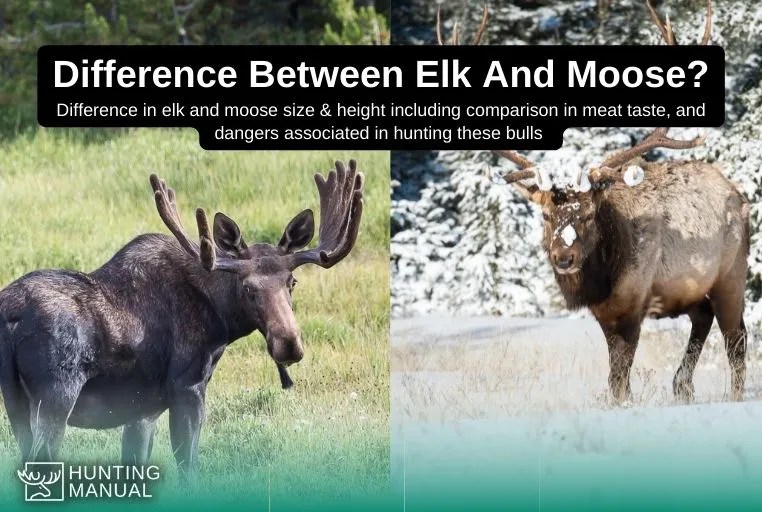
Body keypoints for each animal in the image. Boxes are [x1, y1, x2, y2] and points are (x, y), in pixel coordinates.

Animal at [0, 160, 364, 477]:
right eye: (247, 288)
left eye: (292, 282)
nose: (288, 344)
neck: (221, 321)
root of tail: (9, 315)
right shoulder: (188, 387)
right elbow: (188, 467)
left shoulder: (142, 411)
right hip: (56, 395)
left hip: (16, 402)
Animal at [439, 1, 748, 403]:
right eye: (545, 215)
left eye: (588, 214)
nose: (564, 257)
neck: (604, 279)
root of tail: (738, 195)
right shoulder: (605, 312)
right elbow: (616, 380)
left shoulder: (634, 304)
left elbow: (619, 381)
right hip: (691, 289)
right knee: (704, 318)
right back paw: (682, 386)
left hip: (732, 272)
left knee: (736, 340)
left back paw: (733, 395)